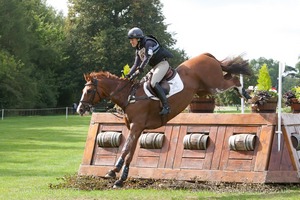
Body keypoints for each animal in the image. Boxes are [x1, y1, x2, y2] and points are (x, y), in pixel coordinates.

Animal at [75, 52, 251, 188]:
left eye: (89, 91)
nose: (80, 109)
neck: (129, 96)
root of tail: (206, 55)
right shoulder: (136, 129)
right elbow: (130, 152)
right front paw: (121, 179)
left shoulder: (136, 126)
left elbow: (125, 149)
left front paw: (113, 171)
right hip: (204, 90)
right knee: (229, 76)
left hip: (214, 84)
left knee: (233, 80)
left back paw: (245, 93)